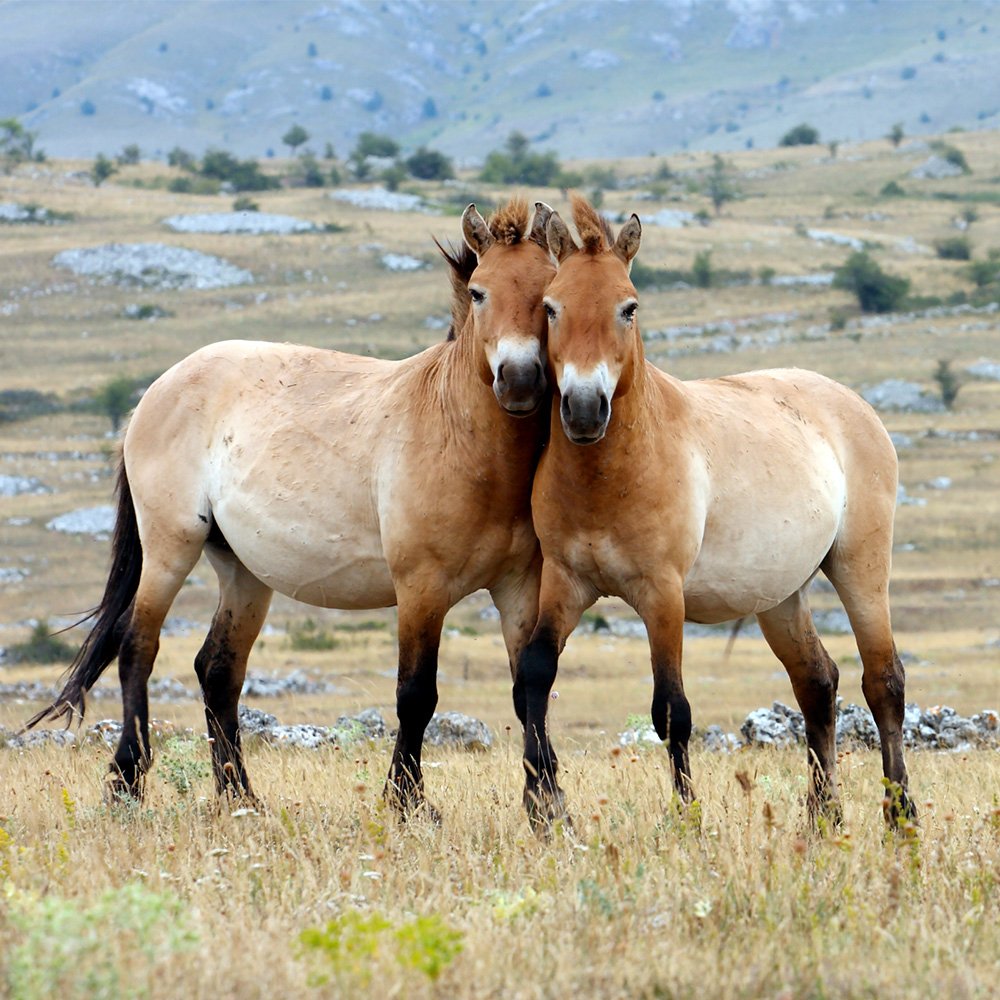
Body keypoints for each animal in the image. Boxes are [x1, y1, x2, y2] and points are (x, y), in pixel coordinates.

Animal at [27, 193, 560, 812]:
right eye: (478, 292)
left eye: (548, 295)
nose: (519, 381)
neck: (459, 435)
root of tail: (157, 390)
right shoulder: (421, 589)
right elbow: (416, 696)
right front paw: (407, 803)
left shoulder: (519, 588)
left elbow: (529, 688)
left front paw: (548, 804)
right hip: (170, 548)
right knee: (139, 648)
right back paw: (127, 783)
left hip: (242, 570)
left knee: (217, 670)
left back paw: (238, 795)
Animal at [516, 193, 916, 828]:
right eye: (551, 308)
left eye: (629, 308)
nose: (583, 409)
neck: (611, 477)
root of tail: (853, 403)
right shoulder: (566, 581)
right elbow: (535, 673)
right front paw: (541, 807)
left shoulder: (662, 595)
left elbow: (671, 710)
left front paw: (687, 817)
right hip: (781, 595)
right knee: (817, 682)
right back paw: (822, 817)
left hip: (860, 568)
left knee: (883, 683)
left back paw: (901, 815)